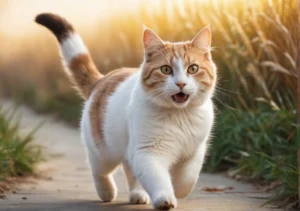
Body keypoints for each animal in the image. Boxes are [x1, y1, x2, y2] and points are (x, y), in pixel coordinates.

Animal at [35, 13, 216, 209]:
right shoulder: (148, 151)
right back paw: (106, 192)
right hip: (104, 152)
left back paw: (137, 194)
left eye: (193, 69)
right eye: (166, 69)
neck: (179, 115)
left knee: (131, 170)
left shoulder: (194, 151)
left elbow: (187, 179)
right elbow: (158, 178)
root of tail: (102, 79)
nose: (181, 83)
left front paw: (178, 188)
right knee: (99, 170)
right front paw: (165, 198)